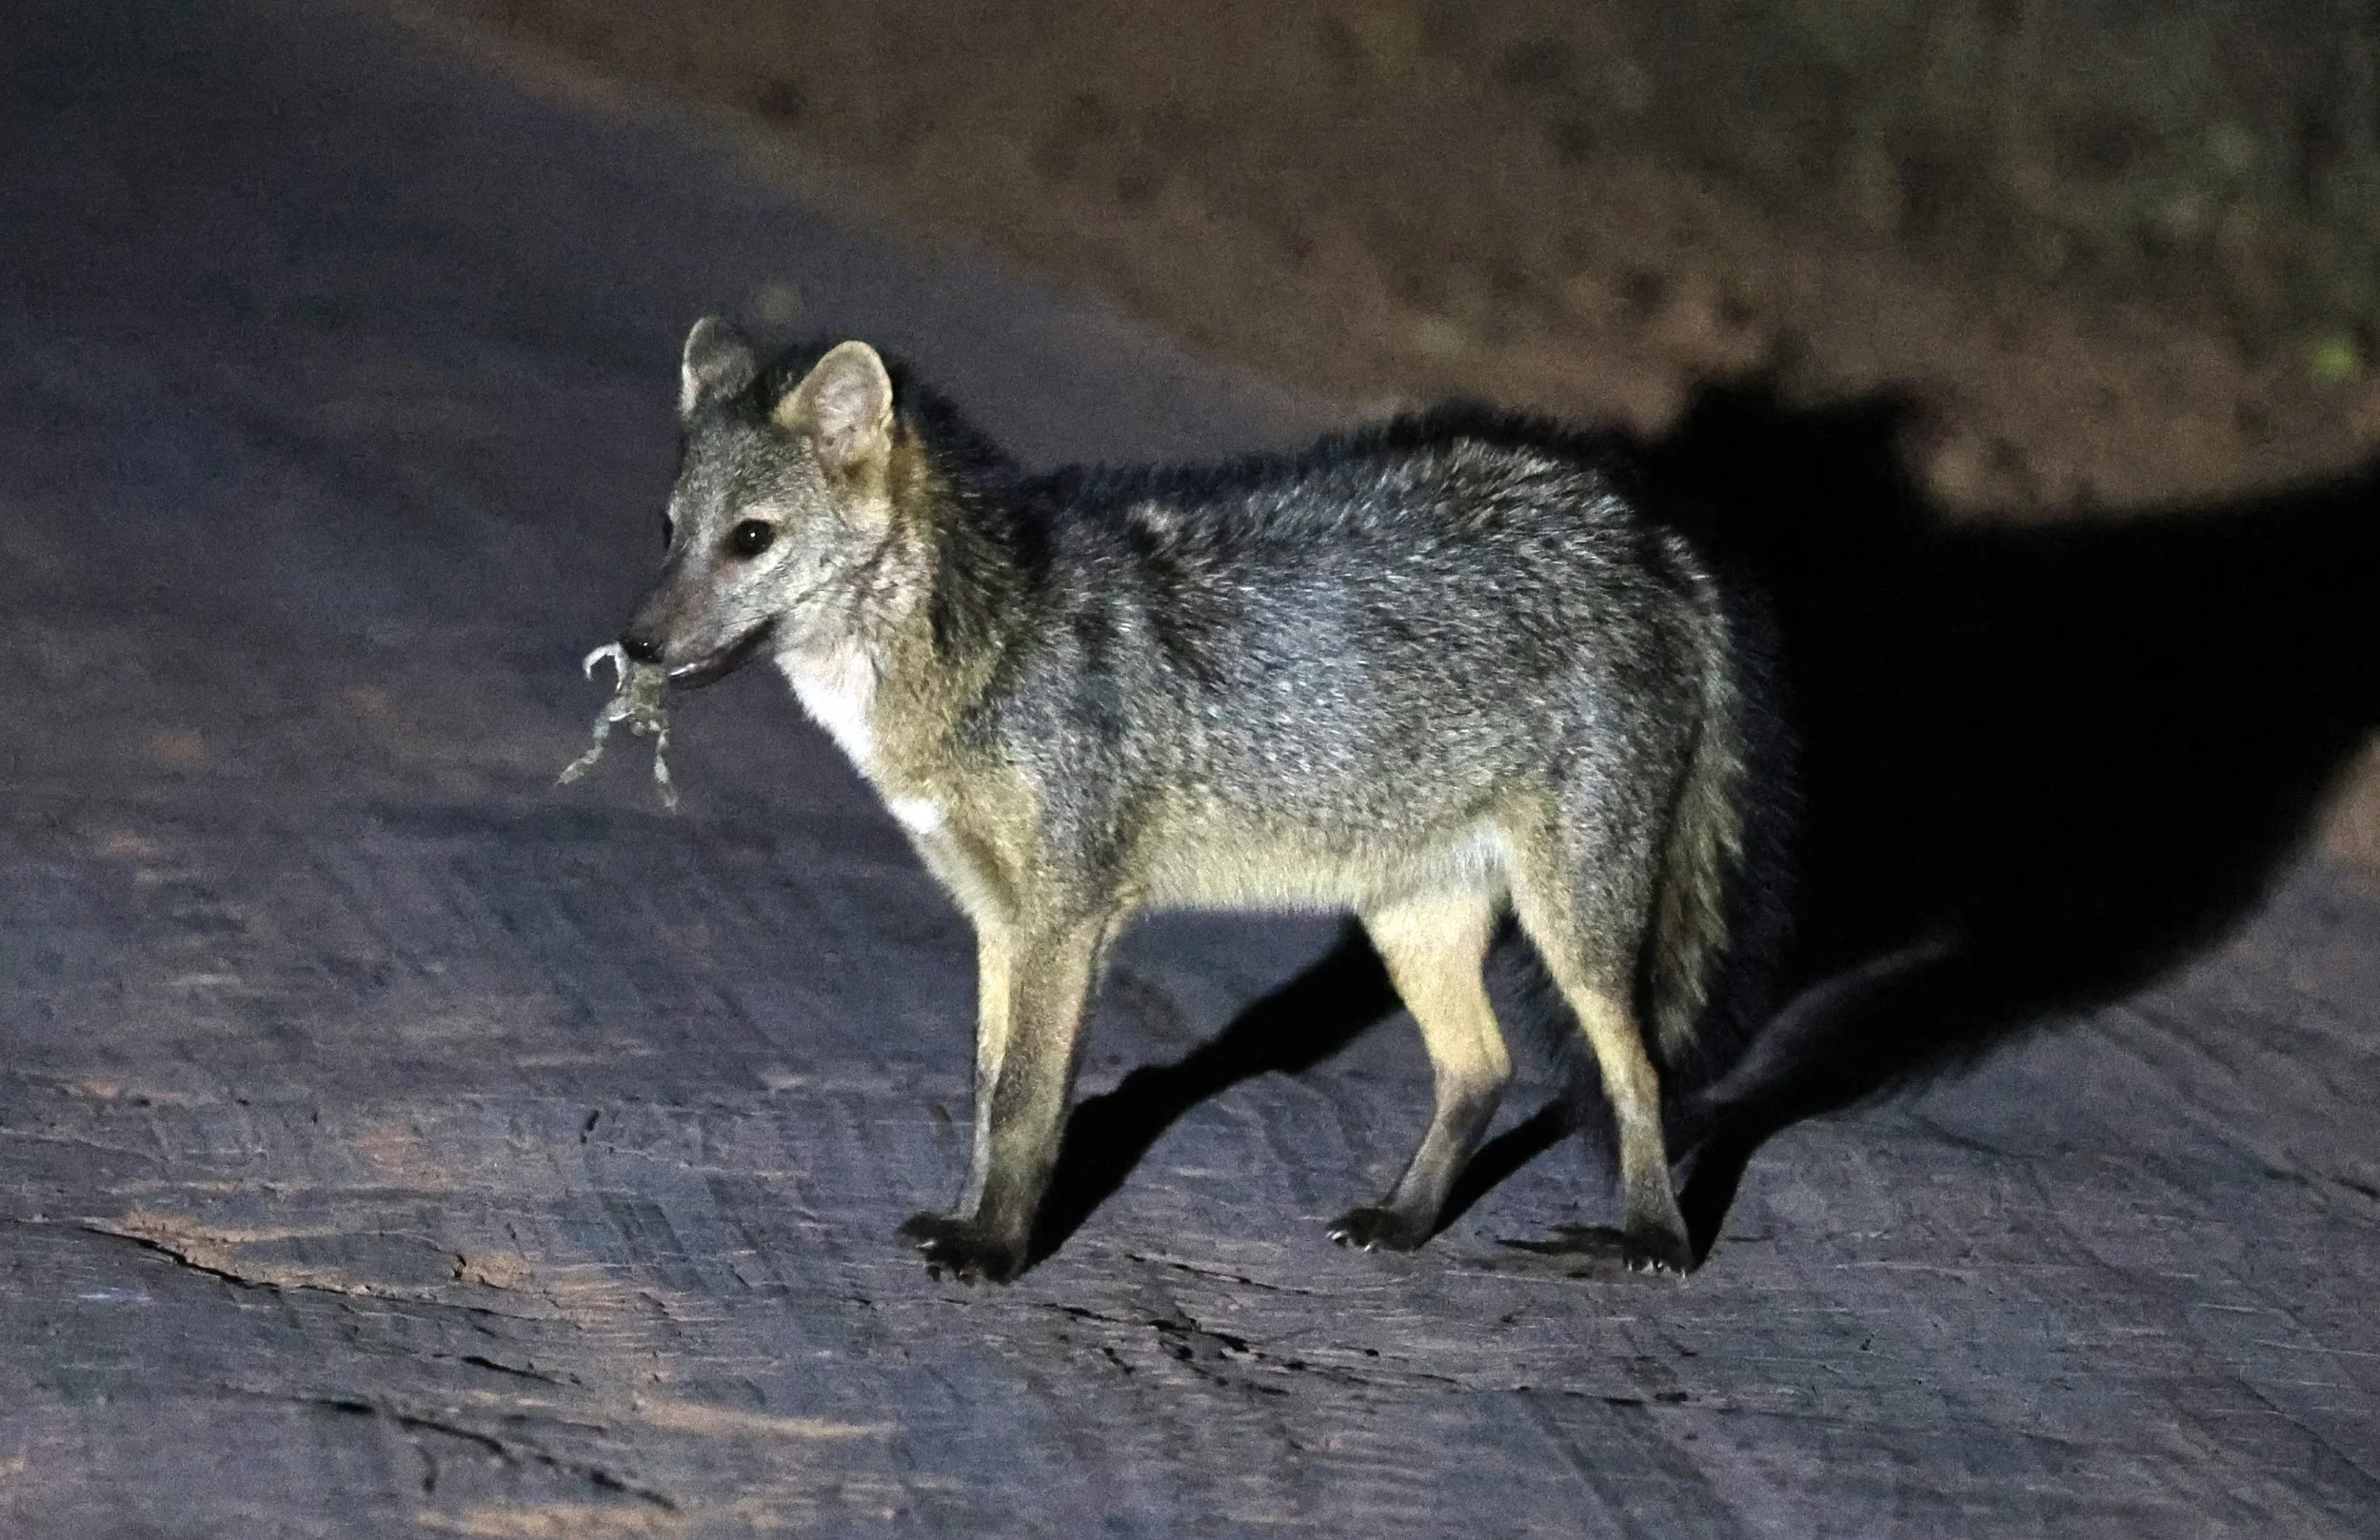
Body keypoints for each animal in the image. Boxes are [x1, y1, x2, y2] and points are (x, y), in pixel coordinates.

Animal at [616, 319, 1793, 1283]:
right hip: (1408, 916)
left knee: (1639, 1073)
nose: (634, 645)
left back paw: (1653, 1243)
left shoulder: (1066, 918)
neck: (983, 645)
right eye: (668, 530)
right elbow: (989, 1090)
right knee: (1482, 1069)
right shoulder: (998, 918)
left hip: (1574, 926)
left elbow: (1027, 1100)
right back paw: (1405, 1222)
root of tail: (1650, 537)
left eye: (751, 538)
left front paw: (994, 1251)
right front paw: (967, 1218)